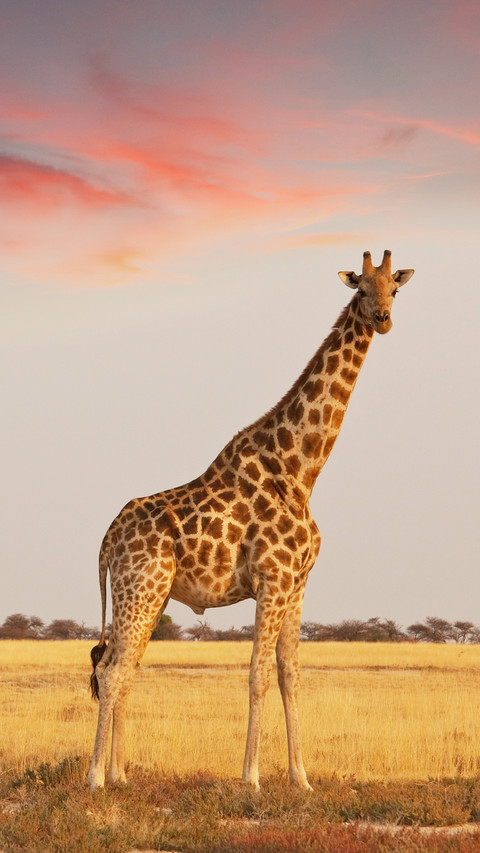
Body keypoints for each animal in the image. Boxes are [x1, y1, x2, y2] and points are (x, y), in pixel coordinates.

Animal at [88, 249, 415, 791]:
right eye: (362, 289)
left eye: (395, 288)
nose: (384, 319)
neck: (302, 471)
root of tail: (107, 539)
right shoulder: (271, 578)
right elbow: (257, 674)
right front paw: (252, 777)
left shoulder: (298, 583)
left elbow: (289, 675)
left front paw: (302, 779)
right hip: (140, 588)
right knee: (113, 671)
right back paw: (94, 777)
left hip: (144, 594)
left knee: (123, 665)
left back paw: (120, 775)